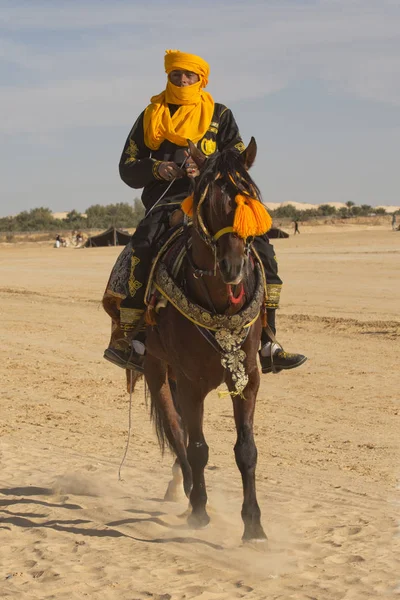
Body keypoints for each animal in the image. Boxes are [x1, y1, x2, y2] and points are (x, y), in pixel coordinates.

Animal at [139, 138, 268, 540]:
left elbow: (246, 450)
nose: (233, 267)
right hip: (156, 368)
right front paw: (199, 510)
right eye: (209, 204)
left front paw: (253, 526)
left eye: (251, 197)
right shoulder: (191, 382)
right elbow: (196, 447)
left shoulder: (247, 377)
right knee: (176, 431)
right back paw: (187, 491)